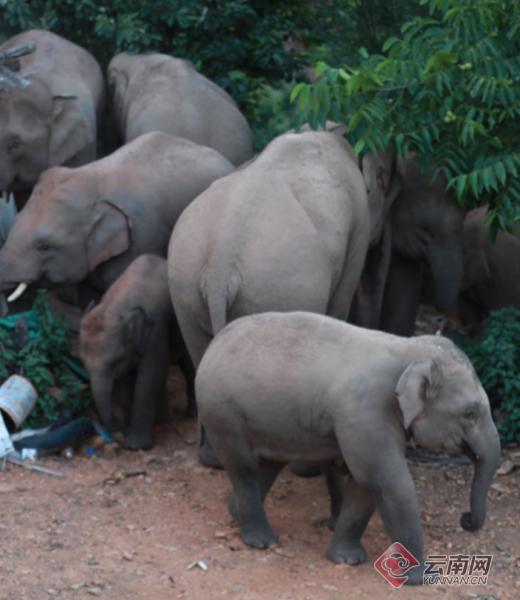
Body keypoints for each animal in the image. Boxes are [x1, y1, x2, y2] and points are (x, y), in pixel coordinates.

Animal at [80, 255, 194, 450]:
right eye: (83, 363)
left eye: (115, 361)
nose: (119, 429)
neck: (115, 306)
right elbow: (124, 381)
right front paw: (129, 432)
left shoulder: (156, 330)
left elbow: (149, 376)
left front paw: (136, 445)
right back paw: (160, 420)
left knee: (187, 366)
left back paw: (190, 414)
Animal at [196, 311, 501, 585]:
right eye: (470, 413)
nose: (466, 518)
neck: (408, 349)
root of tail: (215, 341)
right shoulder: (367, 411)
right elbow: (384, 481)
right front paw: (420, 577)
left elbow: (362, 485)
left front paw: (347, 558)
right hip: (222, 412)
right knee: (243, 468)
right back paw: (261, 541)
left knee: (268, 466)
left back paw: (236, 513)